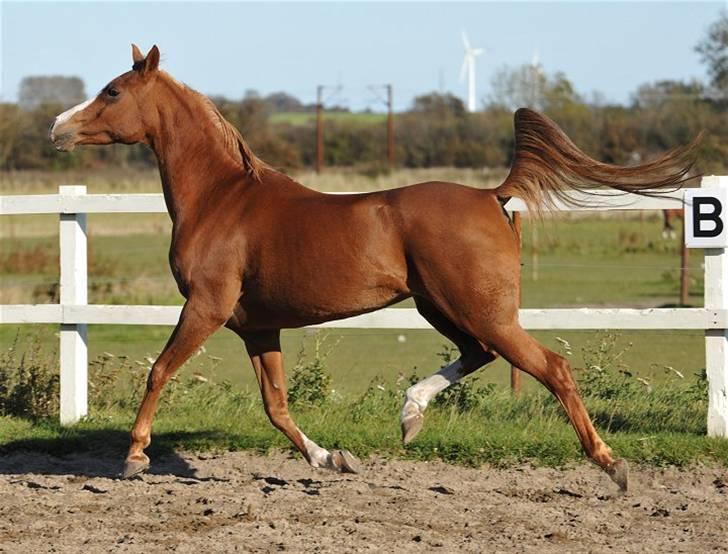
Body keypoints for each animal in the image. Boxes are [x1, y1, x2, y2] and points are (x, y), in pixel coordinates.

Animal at [49, 46, 700, 488]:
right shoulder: (258, 326)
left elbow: (159, 371)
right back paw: (410, 416)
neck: (221, 198)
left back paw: (611, 465)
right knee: (481, 356)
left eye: (112, 92)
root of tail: (492, 194)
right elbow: (276, 404)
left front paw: (135, 455)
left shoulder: (205, 307)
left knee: (552, 367)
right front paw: (332, 457)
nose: (57, 128)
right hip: (444, 307)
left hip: (479, 310)